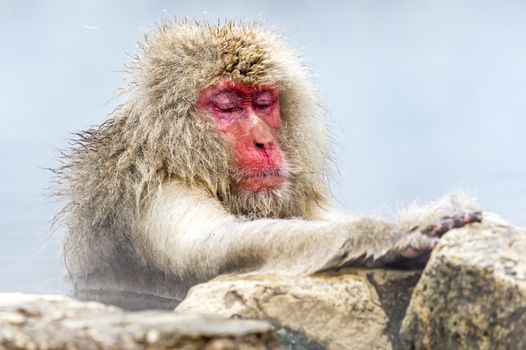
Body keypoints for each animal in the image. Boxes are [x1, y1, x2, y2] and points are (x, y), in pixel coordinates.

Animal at [55, 19, 484, 308]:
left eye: (263, 102)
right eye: (228, 106)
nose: (264, 142)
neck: (181, 158)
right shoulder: (154, 193)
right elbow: (219, 251)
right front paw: (388, 235)